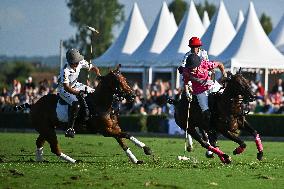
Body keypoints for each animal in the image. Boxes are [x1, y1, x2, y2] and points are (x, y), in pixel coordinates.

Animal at [16, 65, 152, 164]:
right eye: (118, 81)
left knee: (39, 142)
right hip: (47, 129)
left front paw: (136, 159)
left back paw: (40, 160)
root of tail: (33, 105)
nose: (133, 96)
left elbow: (123, 141)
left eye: (125, 79)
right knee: (55, 148)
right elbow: (126, 134)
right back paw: (74, 160)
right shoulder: (105, 131)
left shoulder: (114, 127)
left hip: (47, 129)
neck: (101, 104)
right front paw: (147, 149)